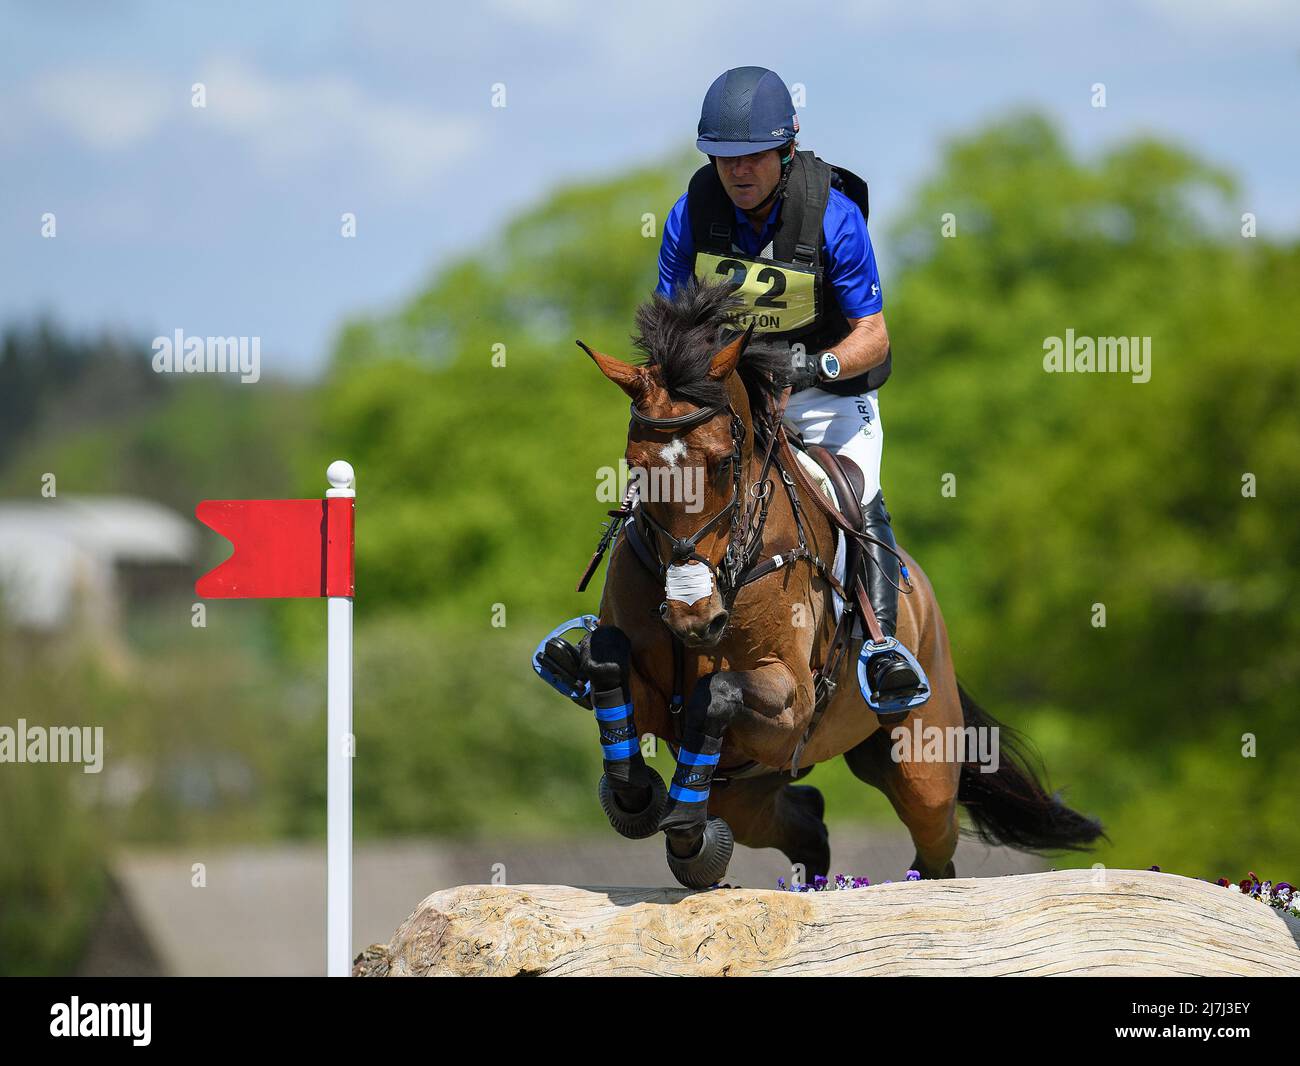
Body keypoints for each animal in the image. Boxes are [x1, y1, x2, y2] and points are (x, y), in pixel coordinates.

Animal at [566, 280, 1102, 888]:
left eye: (724, 463)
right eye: (635, 466)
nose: (693, 618)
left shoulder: (791, 702)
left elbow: (719, 692)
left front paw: (684, 828)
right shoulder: (659, 697)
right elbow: (607, 660)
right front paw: (639, 796)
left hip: (920, 768)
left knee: (934, 852)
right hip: (749, 786)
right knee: (807, 822)